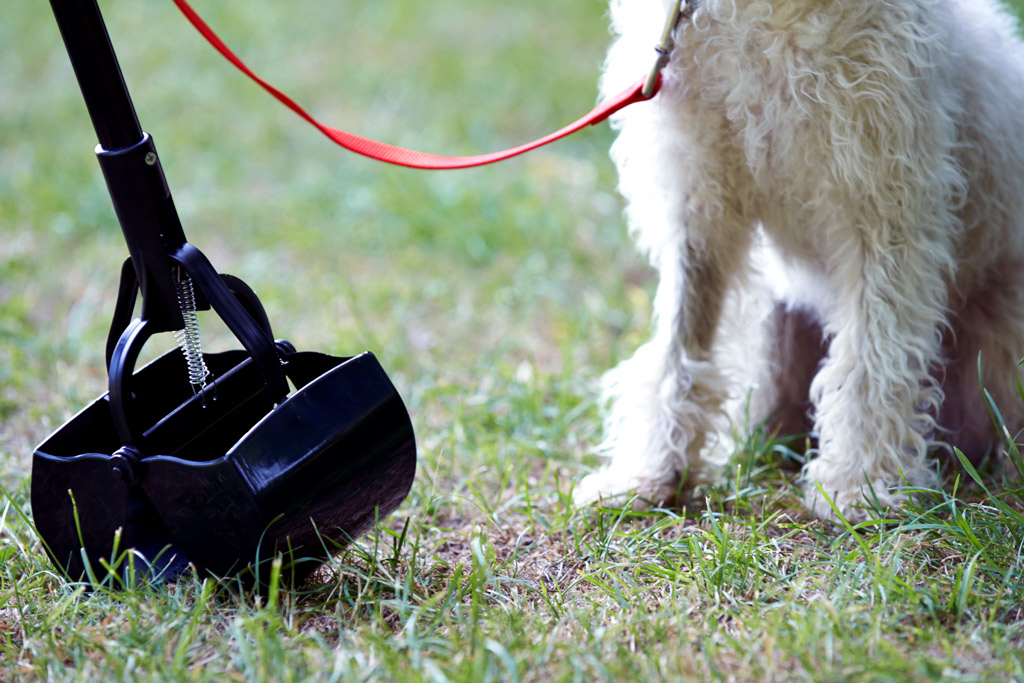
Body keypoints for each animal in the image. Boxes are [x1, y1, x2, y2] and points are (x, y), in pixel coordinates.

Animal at [581, 0, 1024, 518]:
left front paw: (858, 485)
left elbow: (870, 358)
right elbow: (680, 347)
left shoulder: (885, 206)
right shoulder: (698, 203)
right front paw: (652, 471)